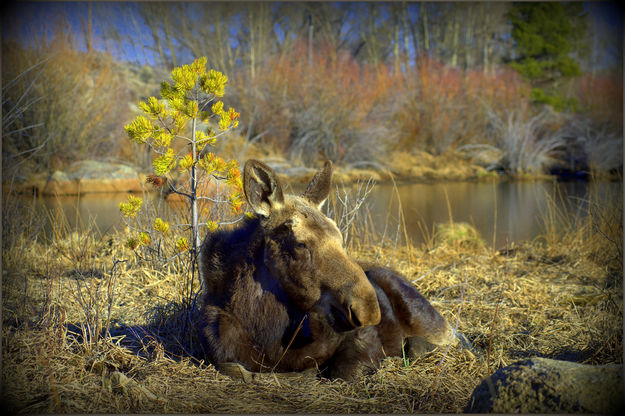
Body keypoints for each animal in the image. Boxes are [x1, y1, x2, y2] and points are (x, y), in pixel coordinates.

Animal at [197, 159, 466, 380]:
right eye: (301, 244)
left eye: (340, 237)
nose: (368, 309)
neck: (266, 330)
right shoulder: (218, 351)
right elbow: (237, 369)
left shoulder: (364, 338)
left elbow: (343, 371)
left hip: (428, 319)